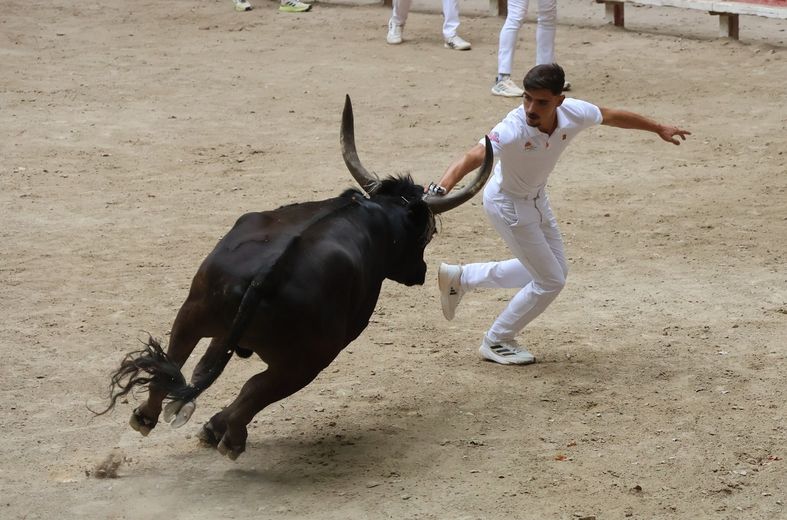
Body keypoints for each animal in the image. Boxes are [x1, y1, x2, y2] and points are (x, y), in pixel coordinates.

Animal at [98, 94, 492, 460]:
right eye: (426, 235)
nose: (420, 272)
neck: (375, 214)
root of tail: (265, 276)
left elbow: (204, 365)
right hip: (309, 359)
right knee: (254, 390)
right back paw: (226, 435)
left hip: (194, 310)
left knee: (174, 360)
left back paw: (149, 415)